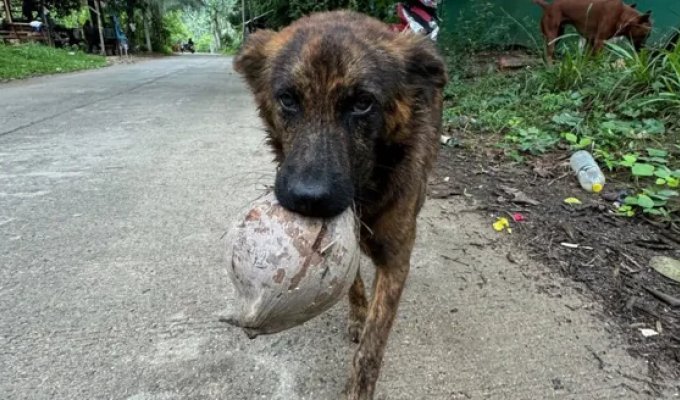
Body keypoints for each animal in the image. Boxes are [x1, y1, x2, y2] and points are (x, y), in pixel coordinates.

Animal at [232, 10, 446, 398]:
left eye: (362, 103)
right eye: (288, 99)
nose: (309, 199)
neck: (366, 190)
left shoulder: (396, 259)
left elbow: (372, 347)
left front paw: (358, 387)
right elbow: (354, 282)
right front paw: (358, 314)